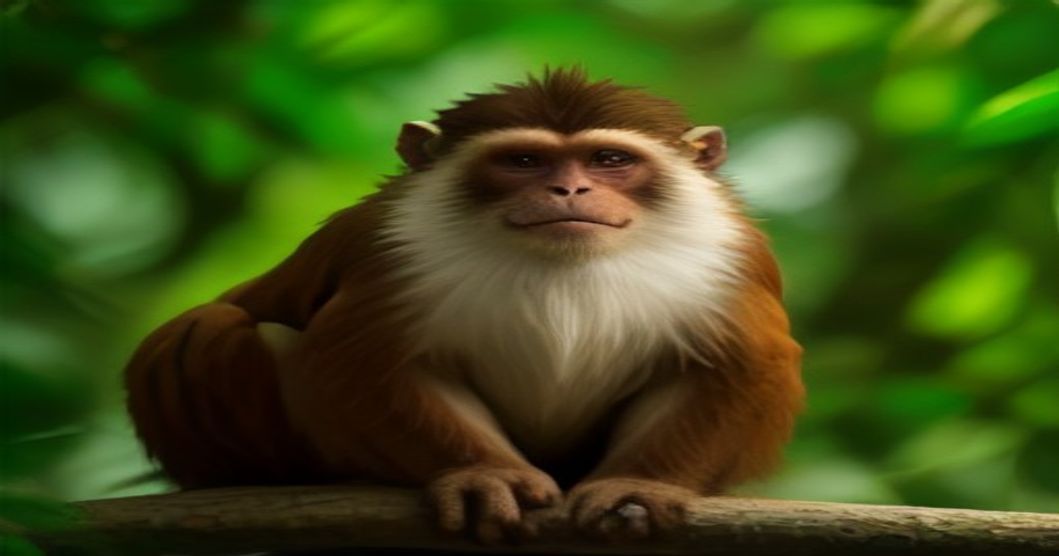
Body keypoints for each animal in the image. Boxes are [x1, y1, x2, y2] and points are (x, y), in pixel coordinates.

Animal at [124, 67, 803, 544]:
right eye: (524, 161)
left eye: (609, 160)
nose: (570, 189)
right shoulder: (389, 253)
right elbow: (364, 361)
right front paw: (483, 475)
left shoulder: (732, 260)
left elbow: (731, 365)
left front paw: (641, 482)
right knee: (211, 329)